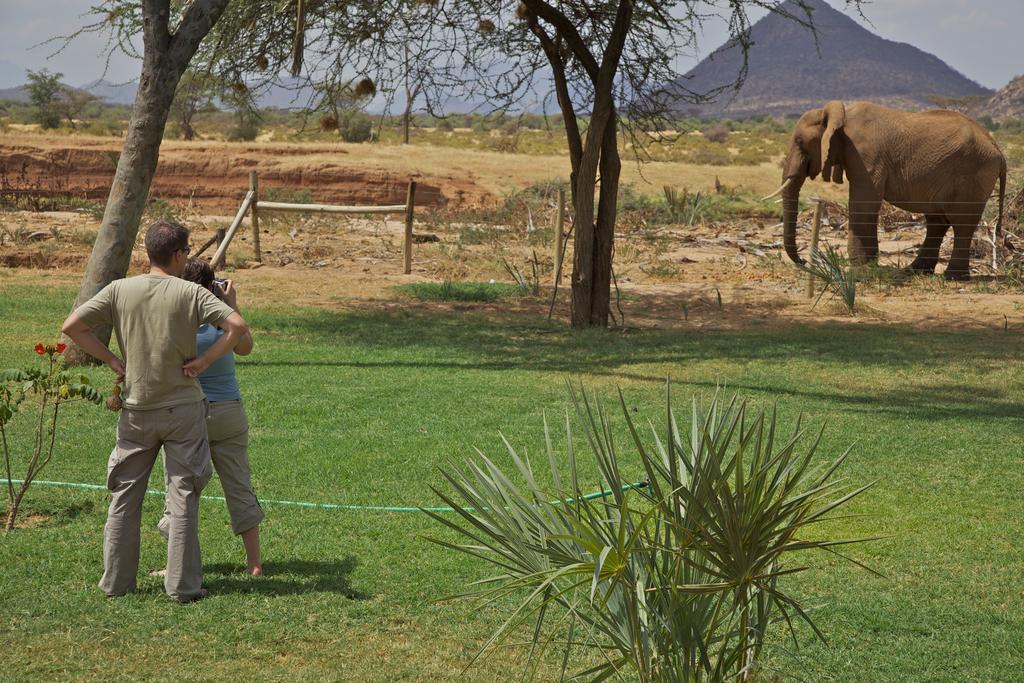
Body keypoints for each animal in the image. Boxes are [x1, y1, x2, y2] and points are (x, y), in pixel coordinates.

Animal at [770, 99, 1007, 280]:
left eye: (799, 141)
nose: (803, 260)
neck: (840, 113)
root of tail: (998, 150)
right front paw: (868, 264)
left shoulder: (865, 156)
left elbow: (864, 202)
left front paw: (859, 267)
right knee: (937, 221)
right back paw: (914, 271)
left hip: (973, 175)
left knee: (962, 223)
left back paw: (952, 277)